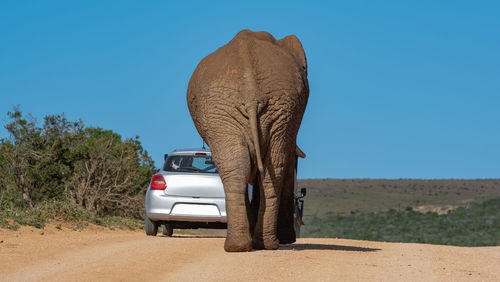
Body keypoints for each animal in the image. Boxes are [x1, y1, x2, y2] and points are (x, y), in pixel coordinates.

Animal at [186, 29, 306, 252]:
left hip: (273, 108)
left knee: (248, 166)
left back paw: (247, 245)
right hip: (234, 110)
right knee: (259, 167)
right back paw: (252, 245)